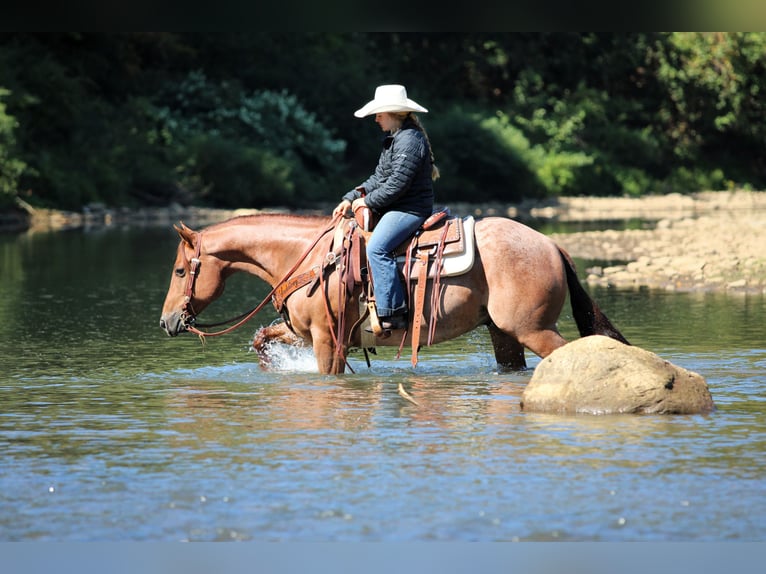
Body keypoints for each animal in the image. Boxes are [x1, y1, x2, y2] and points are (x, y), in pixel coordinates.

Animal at [159, 213, 629, 374]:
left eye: (181, 270)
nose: (166, 322)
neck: (307, 257)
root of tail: (551, 245)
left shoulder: (327, 340)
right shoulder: (306, 333)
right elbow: (263, 337)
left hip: (535, 329)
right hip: (504, 334)